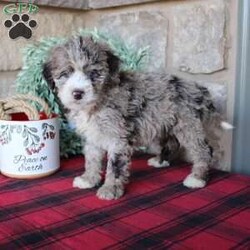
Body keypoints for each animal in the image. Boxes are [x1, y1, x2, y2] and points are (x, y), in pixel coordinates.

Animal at [42, 35, 224, 200]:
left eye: (93, 73)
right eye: (65, 73)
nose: (78, 93)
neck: (97, 102)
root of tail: (198, 89)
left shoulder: (118, 138)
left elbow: (115, 166)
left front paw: (110, 189)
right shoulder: (93, 137)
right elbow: (92, 160)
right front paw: (89, 179)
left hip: (188, 125)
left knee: (204, 149)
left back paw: (197, 178)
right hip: (165, 123)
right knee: (172, 142)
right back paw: (160, 161)